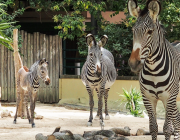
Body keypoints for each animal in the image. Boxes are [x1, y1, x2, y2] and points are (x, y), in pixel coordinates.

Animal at [128, 0, 180, 139]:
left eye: (150, 32)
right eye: (133, 31)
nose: (133, 63)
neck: (154, 70)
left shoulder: (169, 98)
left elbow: (167, 129)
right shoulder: (147, 98)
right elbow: (153, 127)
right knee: (177, 121)